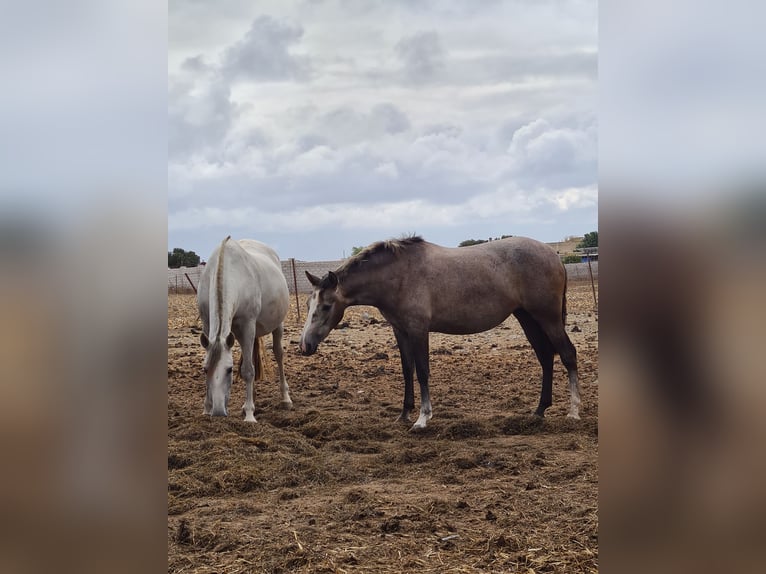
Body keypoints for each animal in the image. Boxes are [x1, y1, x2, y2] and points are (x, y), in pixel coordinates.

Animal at [198, 237, 294, 424]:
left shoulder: (247, 326)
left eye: (229, 369)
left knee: (278, 354)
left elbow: (248, 370)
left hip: (276, 325)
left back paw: (285, 398)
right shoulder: (208, 324)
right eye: (205, 369)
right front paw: (206, 409)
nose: (218, 411)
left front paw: (250, 415)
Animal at [300, 236, 584, 430]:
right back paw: (539, 410)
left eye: (326, 306)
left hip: (548, 317)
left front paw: (422, 418)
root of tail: (554, 255)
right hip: (527, 318)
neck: (399, 275)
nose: (305, 345)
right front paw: (404, 414)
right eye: (308, 304)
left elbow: (423, 371)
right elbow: (407, 371)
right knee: (546, 358)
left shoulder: (418, 329)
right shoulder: (400, 330)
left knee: (568, 354)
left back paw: (573, 411)